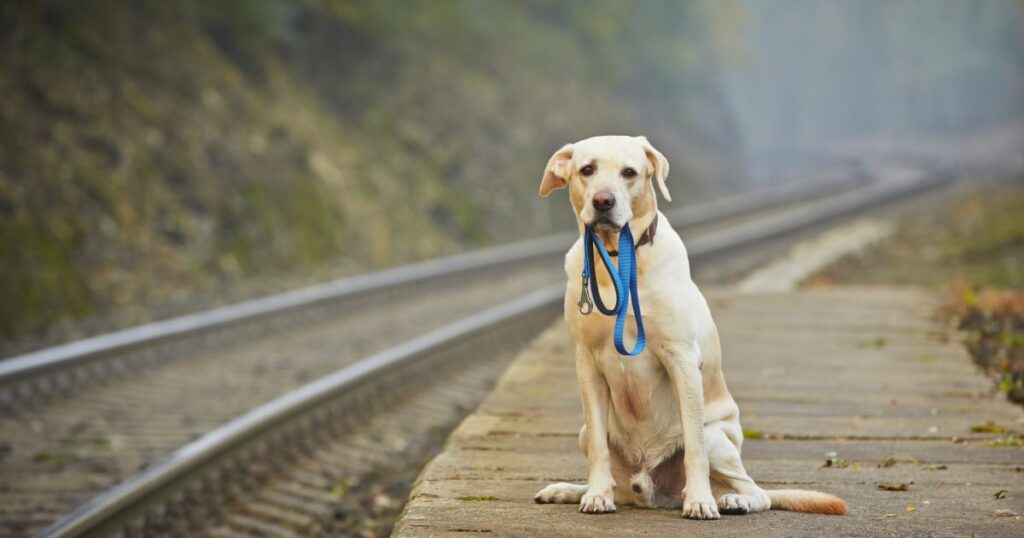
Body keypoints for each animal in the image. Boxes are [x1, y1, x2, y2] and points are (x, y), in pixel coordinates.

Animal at [532, 136, 843, 518]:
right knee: (612, 470)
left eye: (629, 172)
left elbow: (694, 446)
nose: (603, 201)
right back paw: (571, 490)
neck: (618, 261)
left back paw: (731, 499)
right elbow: (599, 451)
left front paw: (699, 500)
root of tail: (651, 491)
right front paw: (596, 495)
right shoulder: (587, 362)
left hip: (718, 439)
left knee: (757, 491)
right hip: (584, 434)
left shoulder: (680, 359)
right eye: (587, 170)